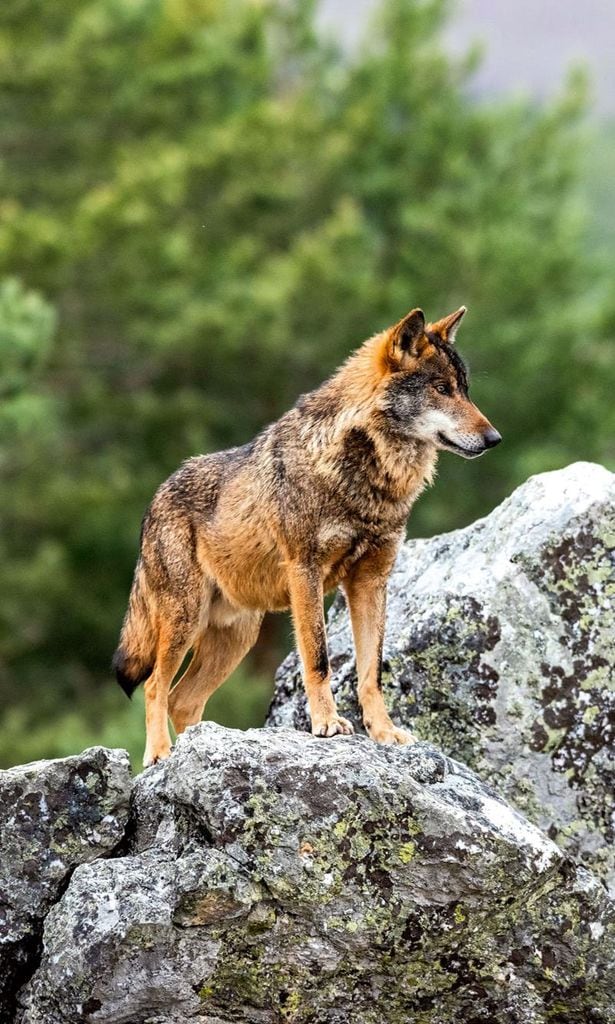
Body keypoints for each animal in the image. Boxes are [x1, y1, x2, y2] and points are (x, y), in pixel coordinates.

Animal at [114, 307, 499, 765]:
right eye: (442, 389)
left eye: (466, 390)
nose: (495, 438)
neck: (366, 478)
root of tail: (154, 500)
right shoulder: (305, 572)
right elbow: (318, 659)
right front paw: (327, 724)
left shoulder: (371, 582)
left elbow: (372, 671)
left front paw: (384, 732)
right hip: (185, 621)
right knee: (156, 685)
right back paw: (160, 755)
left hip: (237, 638)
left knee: (182, 699)